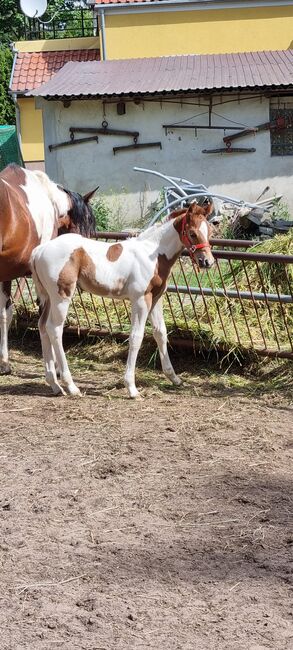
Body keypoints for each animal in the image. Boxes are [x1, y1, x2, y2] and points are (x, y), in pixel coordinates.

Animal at [32, 201, 213, 394]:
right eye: (192, 233)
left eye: (210, 231)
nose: (207, 262)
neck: (153, 254)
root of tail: (40, 250)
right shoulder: (141, 300)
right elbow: (136, 337)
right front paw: (131, 388)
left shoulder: (156, 299)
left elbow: (161, 333)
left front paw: (174, 378)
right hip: (61, 296)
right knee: (55, 329)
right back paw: (71, 386)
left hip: (48, 298)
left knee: (43, 327)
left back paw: (54, 384)